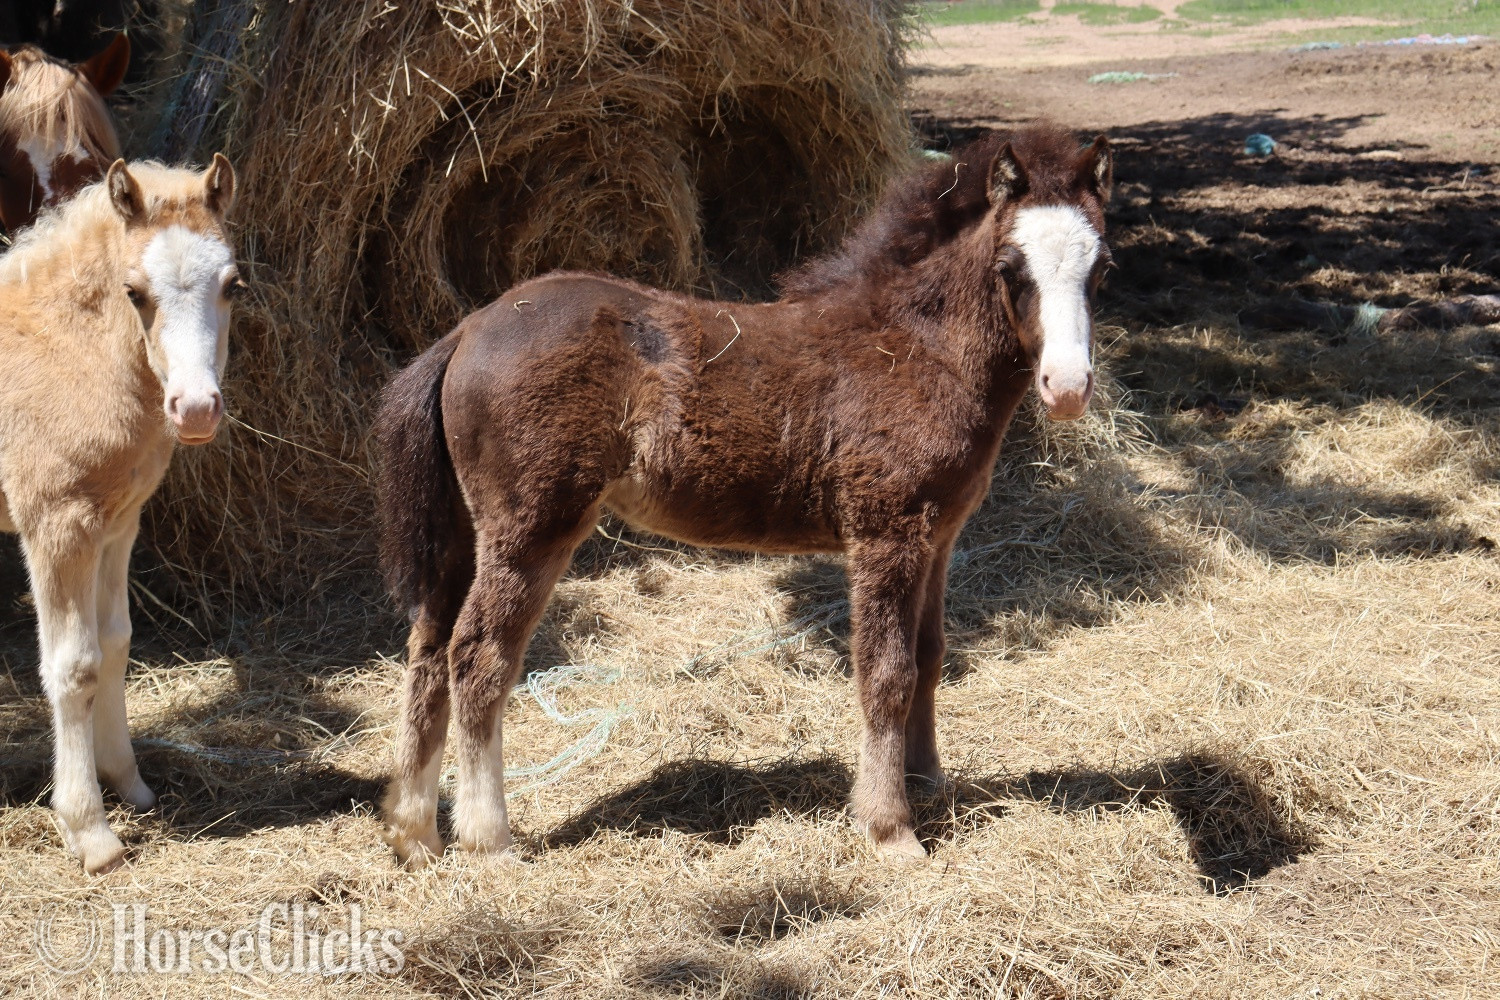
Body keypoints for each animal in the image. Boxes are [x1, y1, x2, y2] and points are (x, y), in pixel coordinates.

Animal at [0, 154, 239, 873]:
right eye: (134, 292)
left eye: (233, 285)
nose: (195, 409)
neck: (64, 352)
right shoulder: (57, 524)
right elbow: (72, 664)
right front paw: (90, 831)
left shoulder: (118, 523)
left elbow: (115, 643)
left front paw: (128, 782)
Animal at [375, 124, 1113, 867]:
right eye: (1011, 267)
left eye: (1100, 267)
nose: (1067, 387)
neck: (915, 347)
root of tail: (467, 331)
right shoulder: (886, 534)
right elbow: (887, 674)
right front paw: (890, 829)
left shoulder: (940, 537)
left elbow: (931, 656)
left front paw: (927, 780)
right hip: (534, 529)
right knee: (478, 659)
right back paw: (488, 839)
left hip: (465, 536)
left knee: (429, 649)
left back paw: (415, 832)